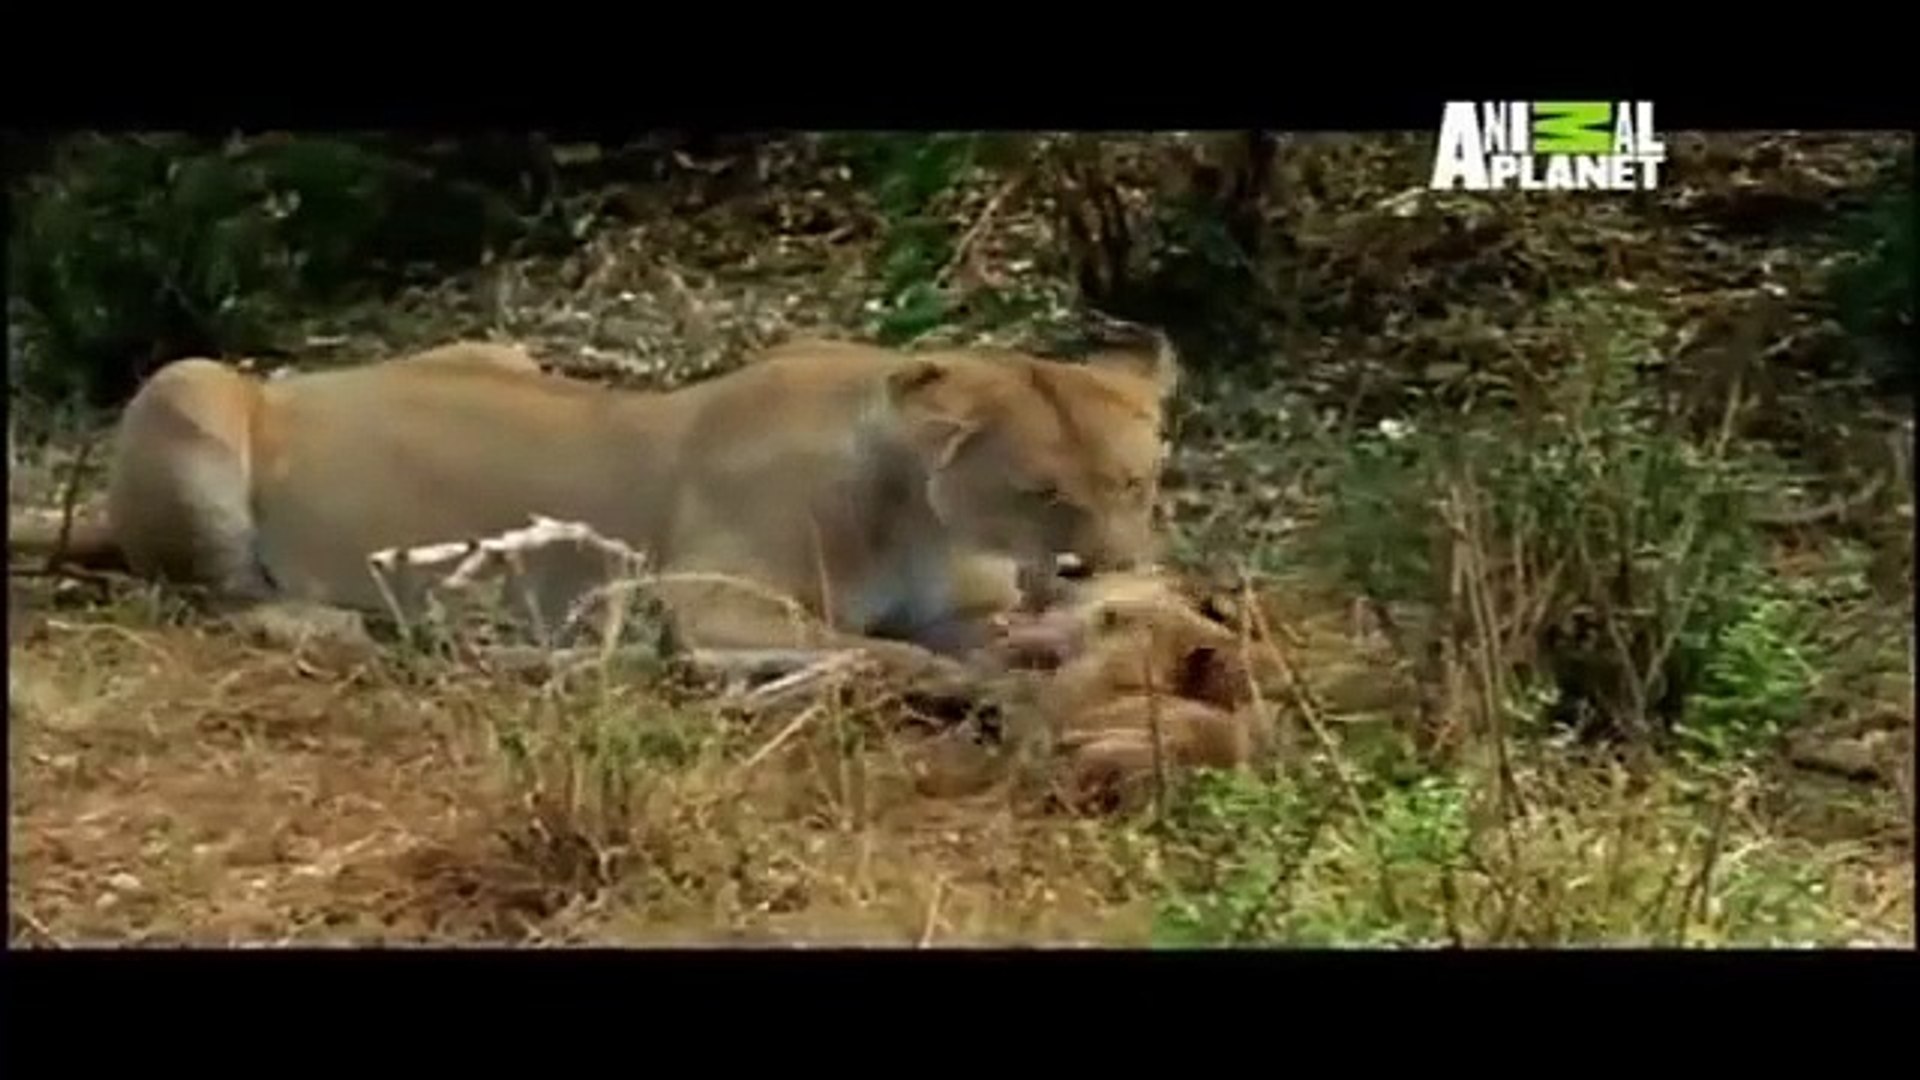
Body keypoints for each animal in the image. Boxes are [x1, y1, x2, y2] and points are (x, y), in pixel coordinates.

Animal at [9, 329, 1181, 678]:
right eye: (1039, 492)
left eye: (1135, 482)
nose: (1112, 566)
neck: (920, 508)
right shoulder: (708, 602)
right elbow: (871, 646)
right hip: (190, 385)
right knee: (218, 597)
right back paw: (344, 627)